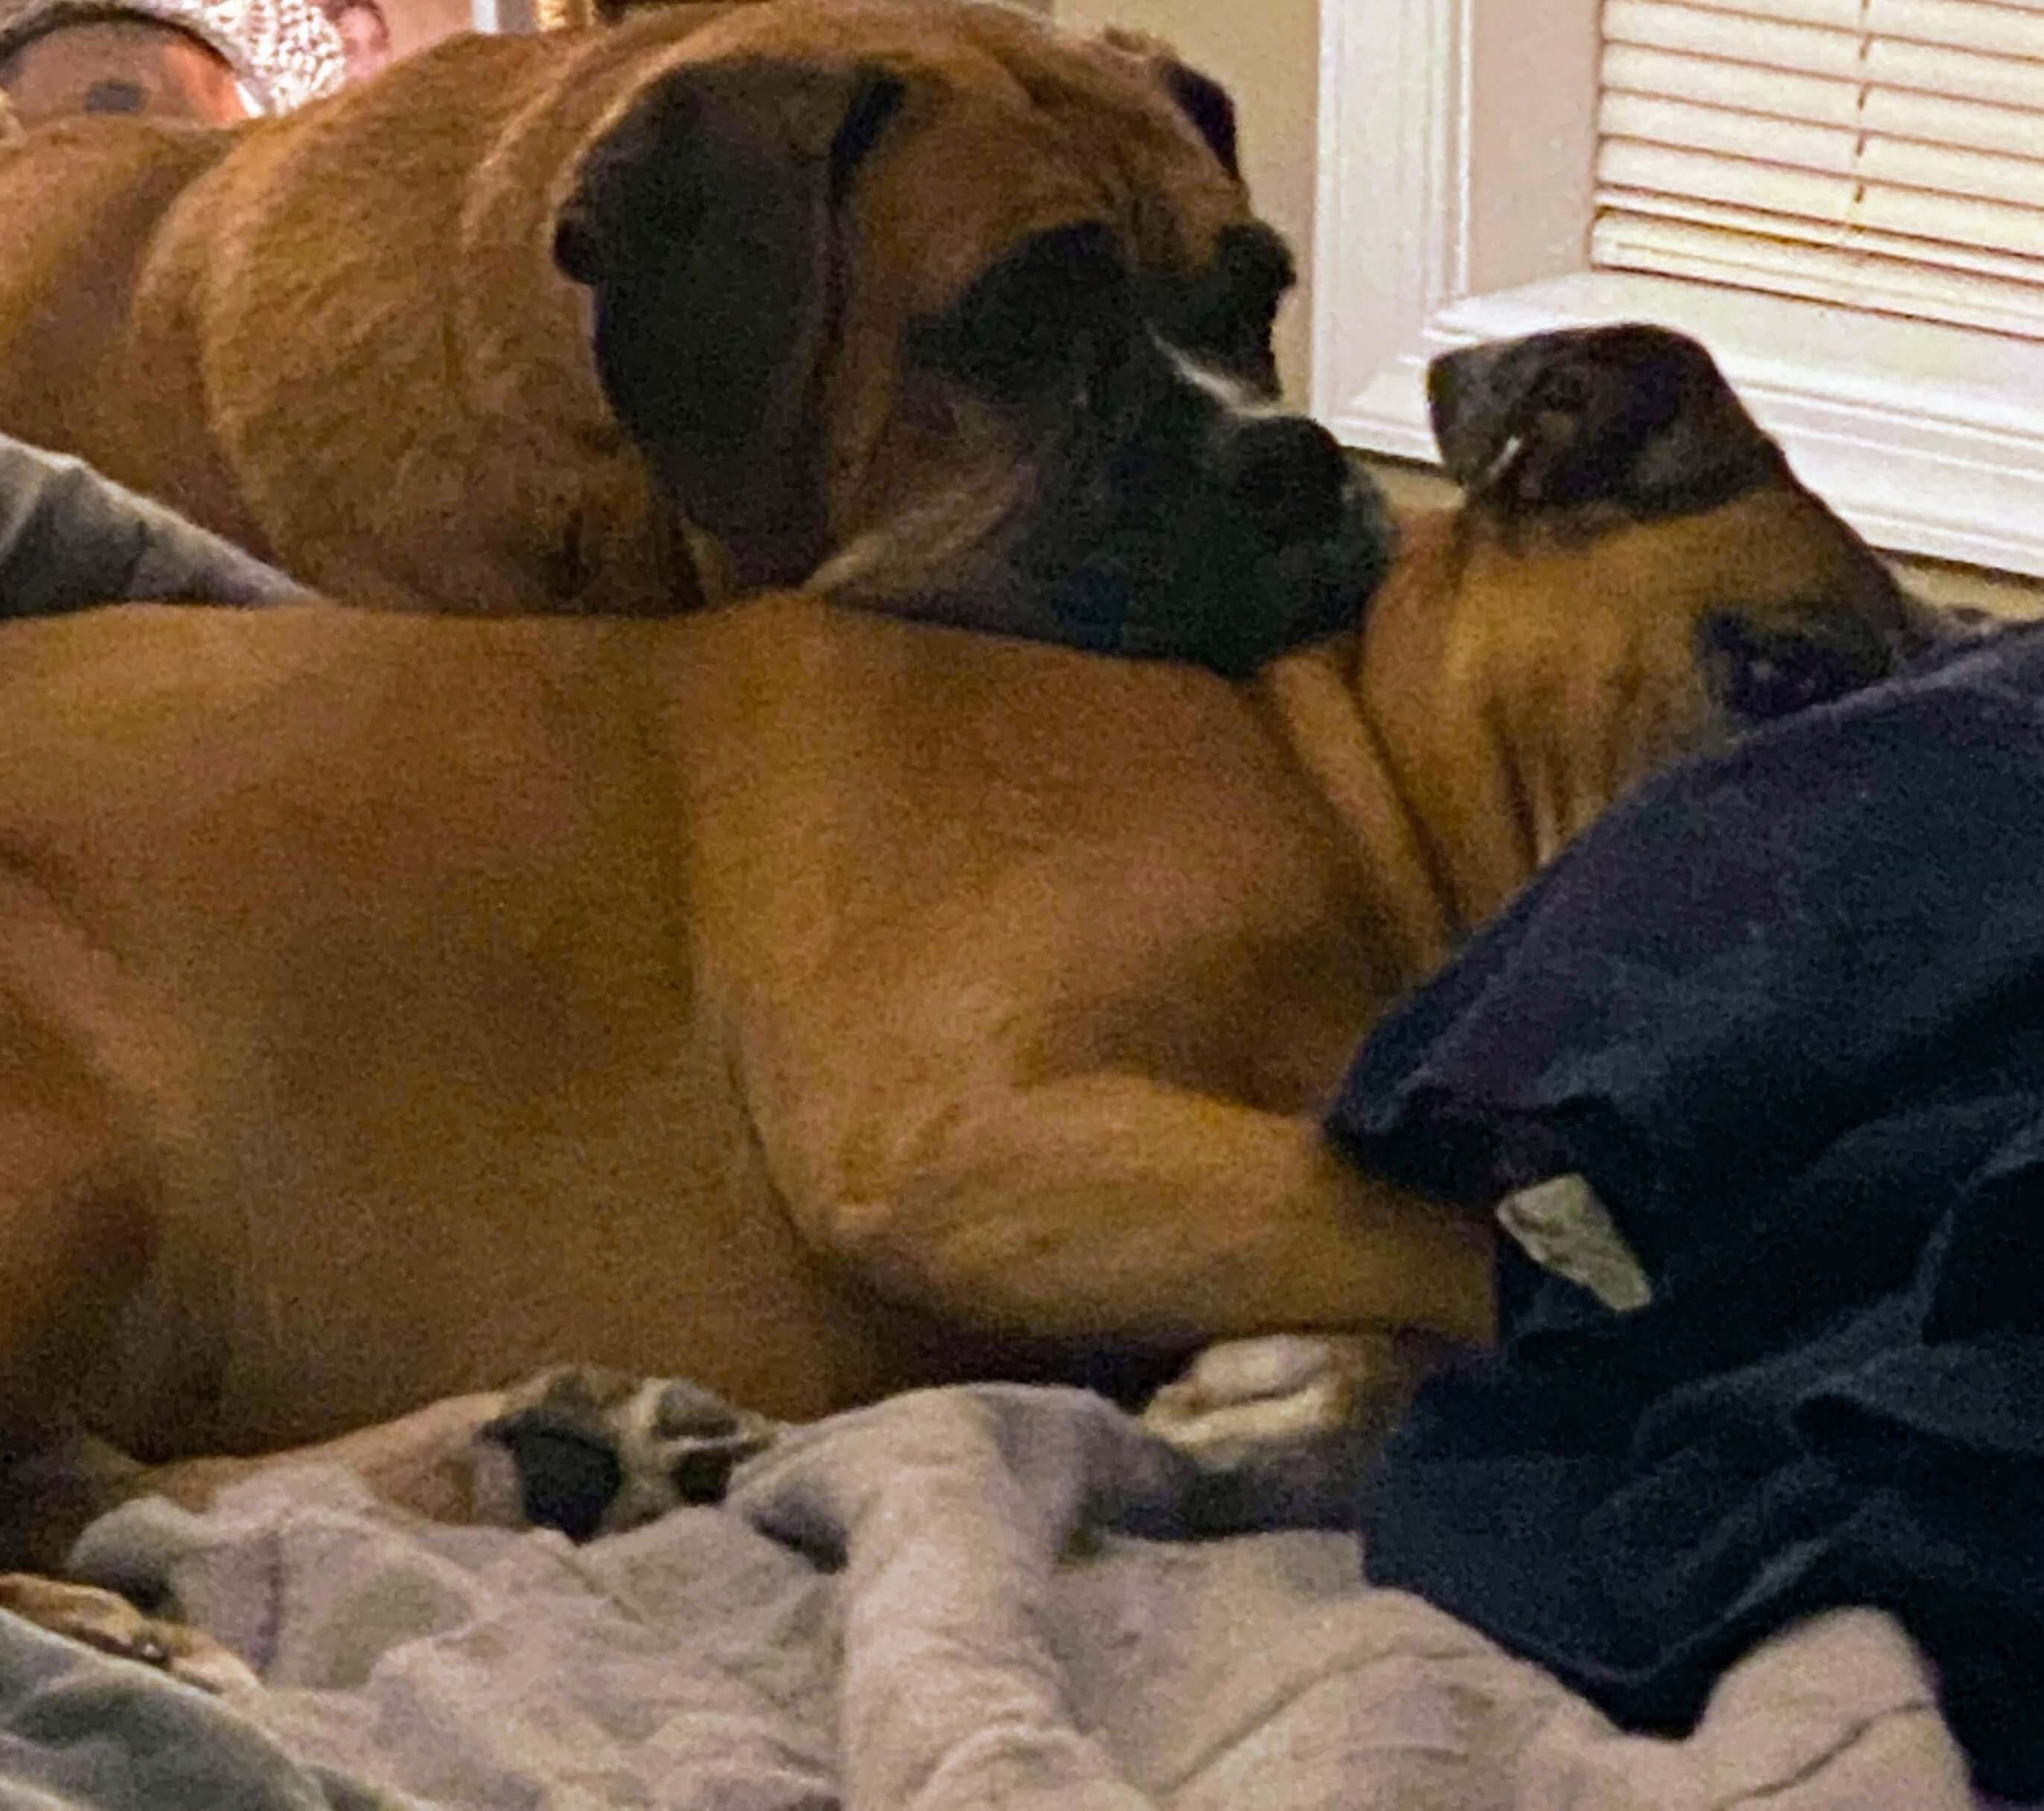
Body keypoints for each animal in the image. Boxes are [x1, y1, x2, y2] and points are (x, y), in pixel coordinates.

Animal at [0, 327, 1937, 1586]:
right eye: (1780, 669)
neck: (1332, 776)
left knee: (111, 1488)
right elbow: (1494, 1265)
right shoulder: (968, 1140)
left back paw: (532, 1459)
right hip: (86, 1154)